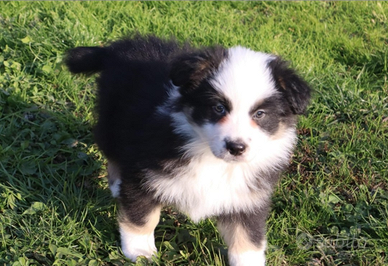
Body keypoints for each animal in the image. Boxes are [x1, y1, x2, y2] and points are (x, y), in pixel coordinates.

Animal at [65, 35, 310, 266]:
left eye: (260, 114)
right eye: (218, 107)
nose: (236, 147)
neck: (211, 158)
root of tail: (116, 49)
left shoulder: (248, 198)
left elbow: (248, 237)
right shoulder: (143, 173)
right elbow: (142, 217)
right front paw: (140, 251)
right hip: (111, 122)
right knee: (113, 155)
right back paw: (117, 186)